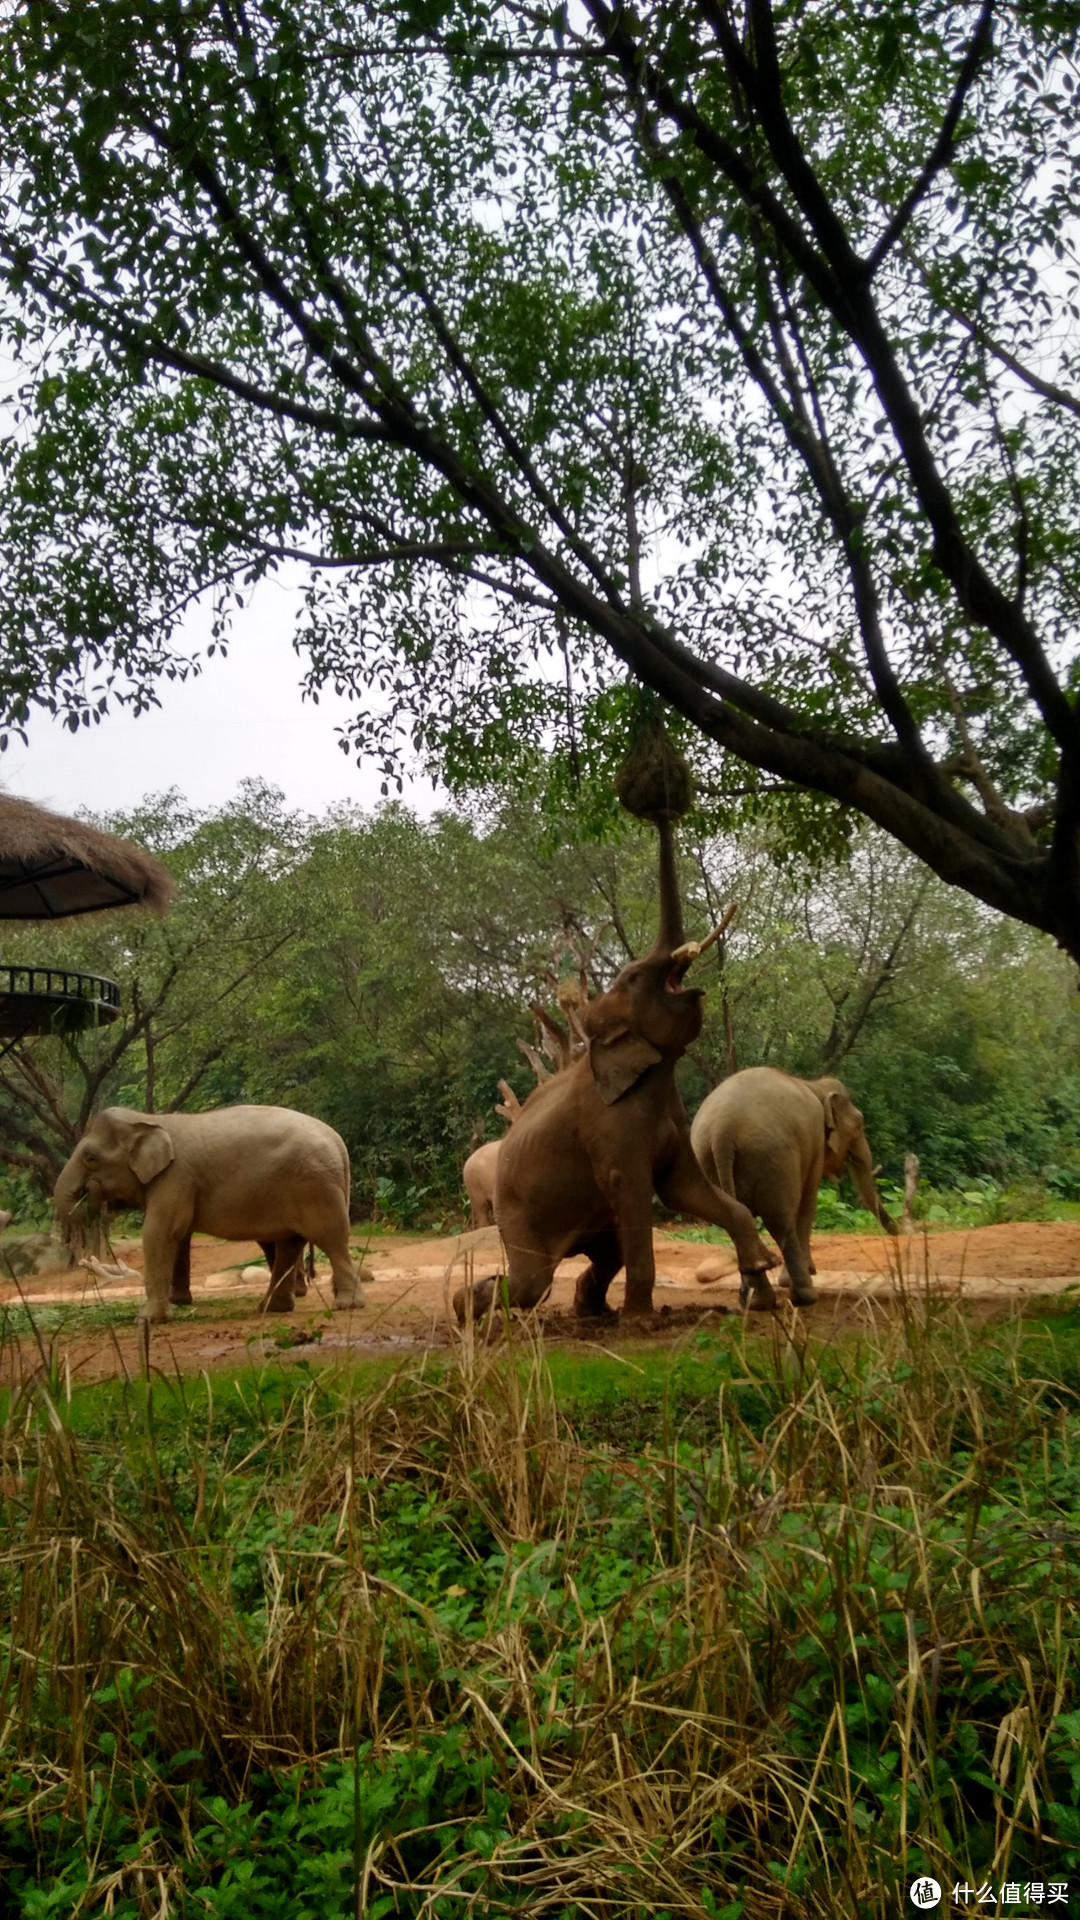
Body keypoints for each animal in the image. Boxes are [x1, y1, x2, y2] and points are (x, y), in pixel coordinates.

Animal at [52, 1113, 367, 1320]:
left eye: (90, 1158)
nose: (90, 1190)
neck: (148, 1118)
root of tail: (338, 1142)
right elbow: (176, 1235)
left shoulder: (175, 1177)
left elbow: (159, 1233)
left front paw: (147, 1319)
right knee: (290, 1243)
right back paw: (270, 1309)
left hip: (314, 1186)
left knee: (330, 1239)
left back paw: (347, 1306)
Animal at [684, 1067, 895, 1305]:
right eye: (859, 1126)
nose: (898, 1234)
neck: (816, 1085)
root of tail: (722, 1132)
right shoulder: (815, 1143)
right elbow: (807, 1204)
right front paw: (803, 1275)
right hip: (772, 1157)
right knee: (780, 1220)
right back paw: (804, 1295)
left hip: (706, 1157)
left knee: (735, 1218)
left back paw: (757, 1301)